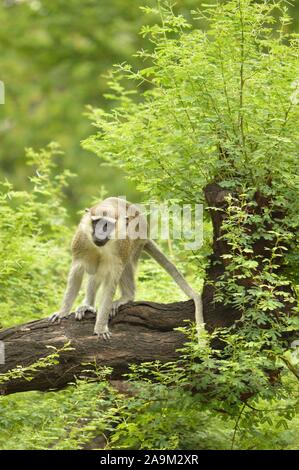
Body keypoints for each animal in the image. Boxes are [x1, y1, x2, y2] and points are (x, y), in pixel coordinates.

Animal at [49, 196, 204, 340]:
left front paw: (100, 326)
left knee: (124, 265)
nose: (99, 234)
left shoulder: (122, 246)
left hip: (136, 244)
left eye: (106, 225)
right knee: (95, 269)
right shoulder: (81, 239)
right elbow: (77, 269)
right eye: (96, 222)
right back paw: (88, 305)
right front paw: (63, 312)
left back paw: (127, 296)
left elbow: (111, 279)